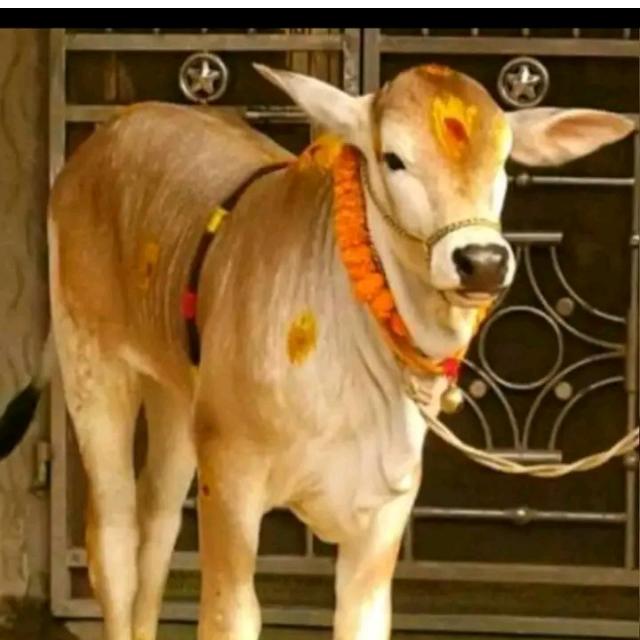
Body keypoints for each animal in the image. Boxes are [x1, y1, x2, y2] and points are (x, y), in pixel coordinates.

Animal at [0, 63, 634, 640]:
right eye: (393, 159)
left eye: (503, 162)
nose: (481, 262)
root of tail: (104, 138)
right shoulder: (231, 481)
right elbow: (229, 614)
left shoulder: (383, 516)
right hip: (93, 366)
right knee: (114, 543)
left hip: (178, 400)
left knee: (155, 534)